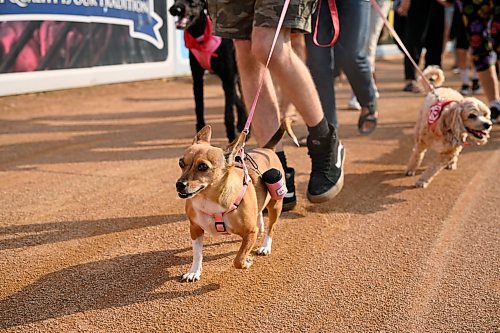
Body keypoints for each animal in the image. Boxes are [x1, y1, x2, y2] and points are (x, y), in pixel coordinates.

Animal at [176, 119, 296, 280]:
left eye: (202, 167)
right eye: (181, 163)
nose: (179, 184)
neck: (208, 200)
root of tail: (266, 149)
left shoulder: (250, 233)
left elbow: (238, 260)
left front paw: (247, 262)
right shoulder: (195, 229)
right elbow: (197, 254)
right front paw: (194, 271)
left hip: (275, 205)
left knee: (271, 227)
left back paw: (265, 246)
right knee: (259, 211)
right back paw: (261, 228)